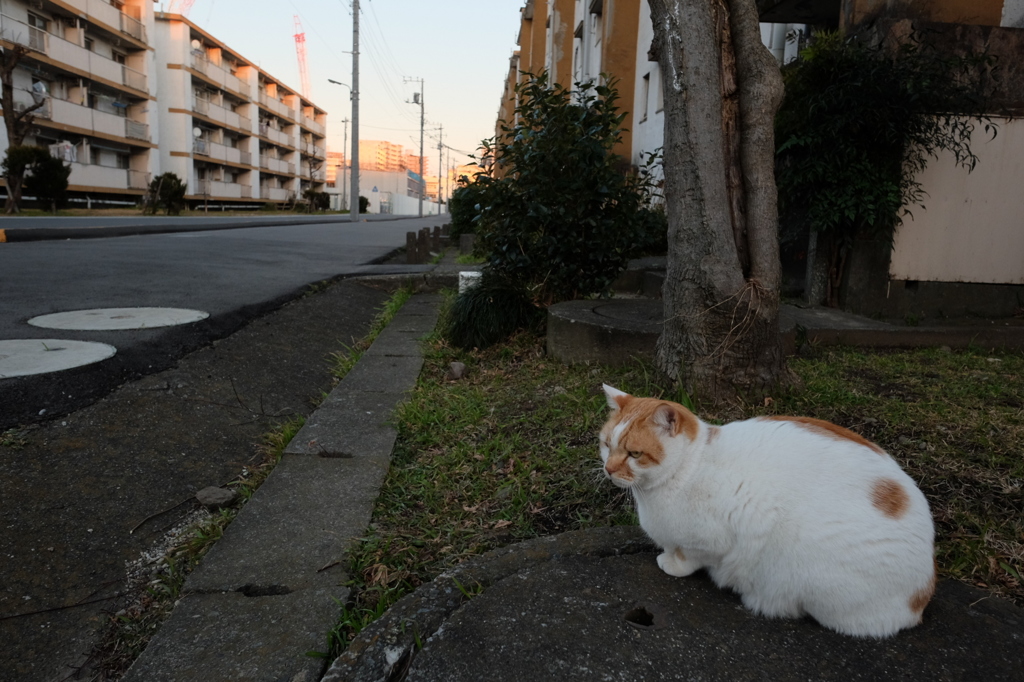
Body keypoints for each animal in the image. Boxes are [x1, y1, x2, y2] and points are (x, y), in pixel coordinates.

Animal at [598, 385, 937, 634]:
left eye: (634, 454)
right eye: (606, 445)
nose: (608, 469)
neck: (689, 467)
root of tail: (921, 598)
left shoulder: (709, 542)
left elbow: (689, 557)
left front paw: (672, 563)